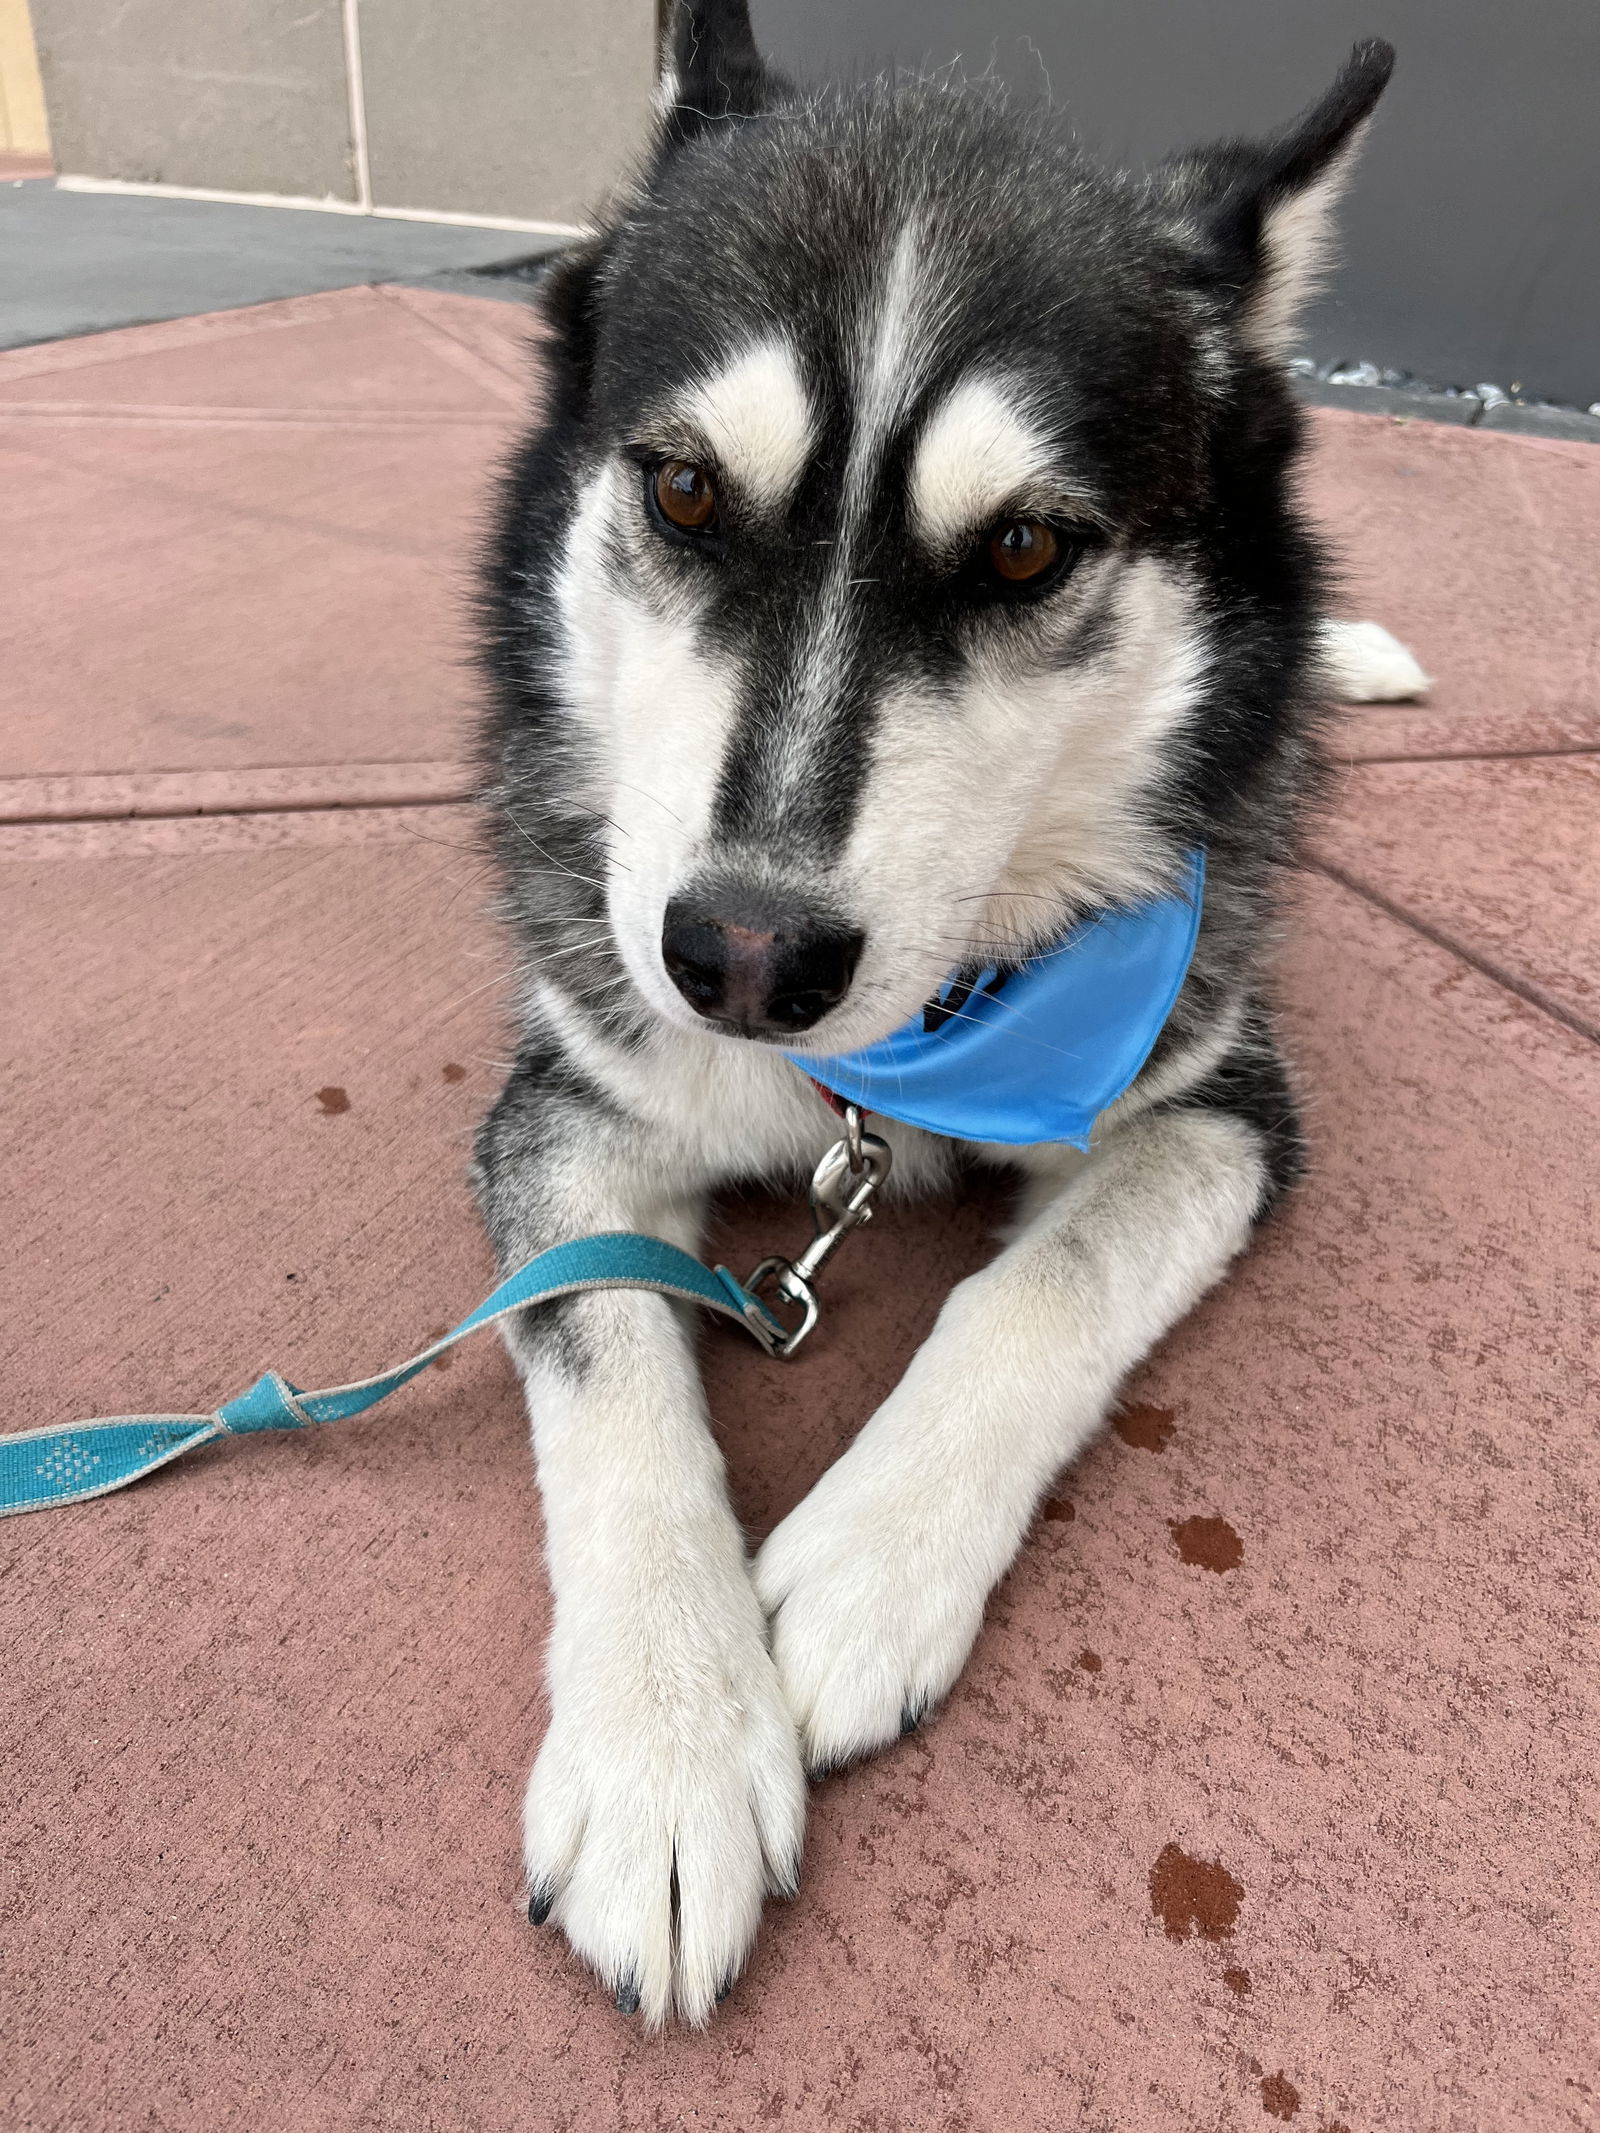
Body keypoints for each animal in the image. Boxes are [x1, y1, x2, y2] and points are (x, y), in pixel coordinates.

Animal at [469, 4, 1425, 2030]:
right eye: (684, 490)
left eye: (1026, 551)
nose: (742, 956)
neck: (893, 1057)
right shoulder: (565, 1100)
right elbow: (608, 1344)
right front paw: (667, 1743)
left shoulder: (1224, 1103)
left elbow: (1045, 1289)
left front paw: (857, 1570)